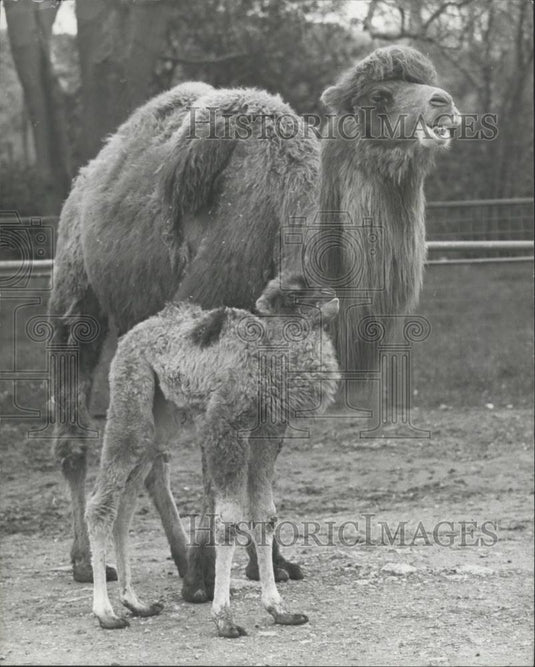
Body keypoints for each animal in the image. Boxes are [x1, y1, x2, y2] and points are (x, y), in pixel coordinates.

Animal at [49, 45, 460, 597]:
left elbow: (262, 465)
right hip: (75, 291)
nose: (443, 102)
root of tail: (88, 176)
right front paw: (206, 578)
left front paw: (271, 564)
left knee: (153, 454)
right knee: (76, 422)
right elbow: (216, 464)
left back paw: (176, 554)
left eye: (424, 82)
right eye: (380, 95)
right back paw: (88, 562)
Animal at [86, 275, 340, 637]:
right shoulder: (226, 426)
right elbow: (229, 520)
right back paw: (106, 613)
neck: (267, 358)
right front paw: (224, 618)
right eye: (293, 296)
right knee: (102, 499)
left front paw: (280, 609)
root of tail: (129, 336)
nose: (331, 297)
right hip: (130, 391)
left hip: (162, 415)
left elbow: (266, 516)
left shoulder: (268, 431)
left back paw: (136, 602)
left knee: (127, 503)